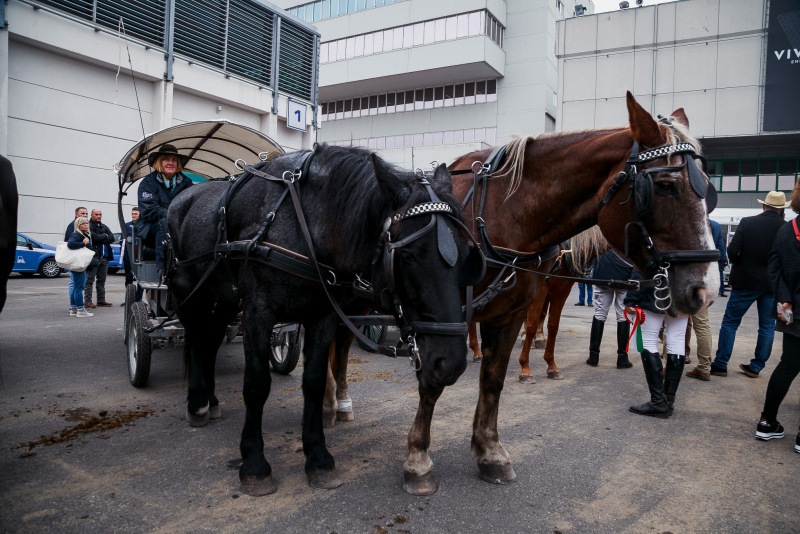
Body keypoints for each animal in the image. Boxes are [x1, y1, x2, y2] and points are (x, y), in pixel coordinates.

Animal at [324, 93, 720, 498]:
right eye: (665, 185)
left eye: (708, 188)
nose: (704, 289)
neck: (501, 215)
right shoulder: (439, 316)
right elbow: (433, 380)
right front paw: (418, 458)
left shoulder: (510, 312)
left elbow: (495, 378)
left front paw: (490, 450)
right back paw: (332, 403)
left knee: (337, 344)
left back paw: (336, 403)